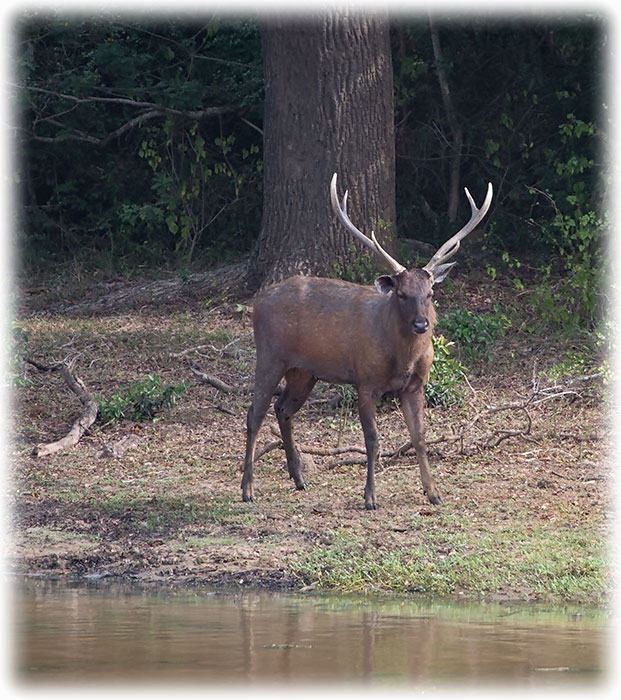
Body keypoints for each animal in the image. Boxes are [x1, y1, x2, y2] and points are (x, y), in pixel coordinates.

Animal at [240, 172, 492, 506]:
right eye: (402, 293)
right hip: (269, 355)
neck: (402, 359)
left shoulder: (415, 385)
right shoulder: (366, 380)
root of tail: (258, 302)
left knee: (283, 409)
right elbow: (372, 439)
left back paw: (299, 478)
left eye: (430, 292)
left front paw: (433, 492)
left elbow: (419, 436)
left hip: (304, 372)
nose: (422, 323)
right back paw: (247, 489)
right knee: (254, 413)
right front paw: (370, 496)